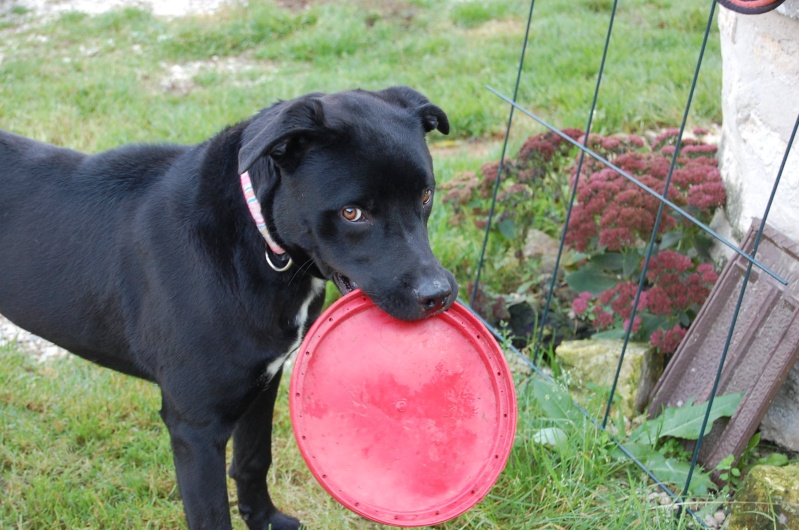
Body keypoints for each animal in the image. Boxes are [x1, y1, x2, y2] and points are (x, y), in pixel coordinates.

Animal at [0, 87, 460, 528]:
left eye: (425, 195)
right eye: (352, 213)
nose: (438, 295)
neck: (258, 240)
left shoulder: (263, 381)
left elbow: (254, 460)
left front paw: (265, 519)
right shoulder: (196, 426)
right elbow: (210, 514)